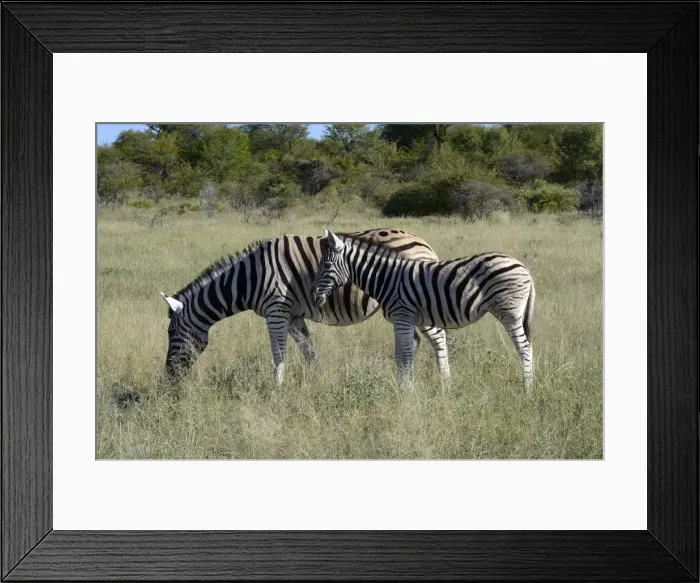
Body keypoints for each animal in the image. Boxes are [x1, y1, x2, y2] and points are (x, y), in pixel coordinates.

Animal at [160, 228, 450, 384]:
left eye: (171, 333)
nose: (169, 375)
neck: (250, 278)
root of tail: (423, 241)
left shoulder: (276, 312)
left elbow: (279, 354)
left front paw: (277, 390)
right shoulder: (293, 315)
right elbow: (308, 351)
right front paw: (317, 382)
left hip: (418, 300)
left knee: (438, 338)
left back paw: (444, 383)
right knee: (416, 340)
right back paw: (405, 376)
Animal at [311, 228, 536, 392]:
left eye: (326, 265)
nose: (313, 296)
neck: (386, 278)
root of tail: (524, 268)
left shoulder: (402, 316)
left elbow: (403, 356)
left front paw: (404, 393)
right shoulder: (408, 319)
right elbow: (404, 356)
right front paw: (405, 387)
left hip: (509, 312)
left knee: (524, 347)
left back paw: (527, 389)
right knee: (527, 346)